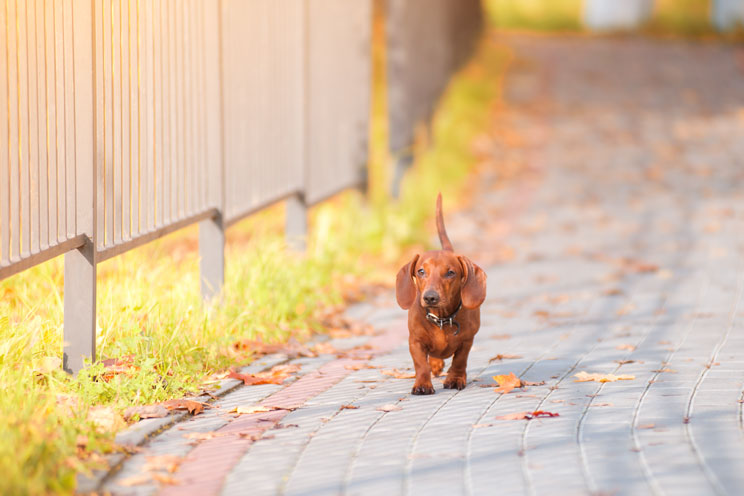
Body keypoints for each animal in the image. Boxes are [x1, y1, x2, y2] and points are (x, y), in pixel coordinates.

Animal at [396, 194, 488, 396]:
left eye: (450, 272)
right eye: (421, 271)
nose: (430, 297)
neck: (441, 319)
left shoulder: (467, 340)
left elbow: (460, 360)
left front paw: (455, 378)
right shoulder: (415, 342)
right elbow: (421, 364)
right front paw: (422, 384)